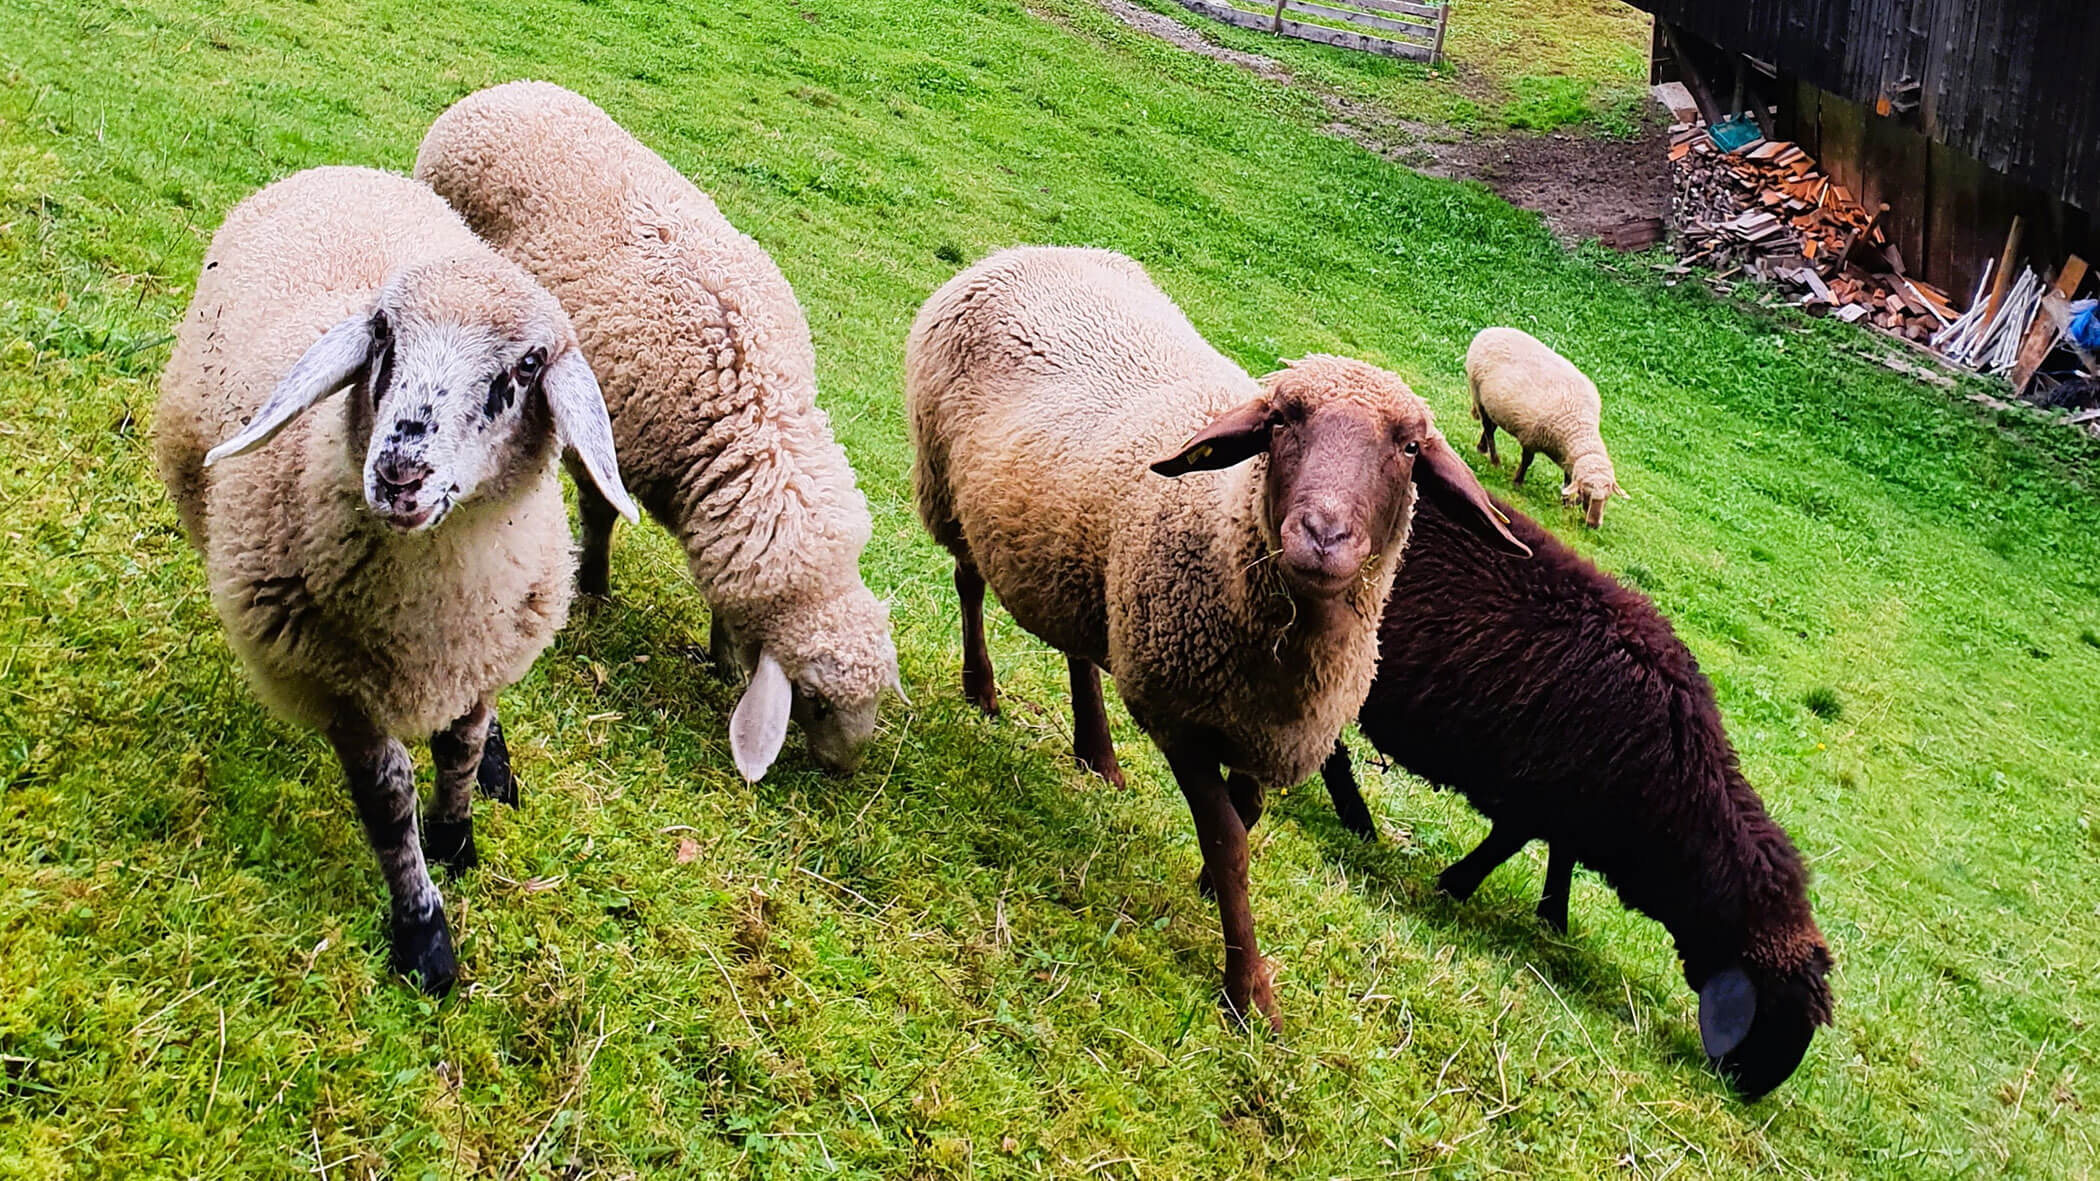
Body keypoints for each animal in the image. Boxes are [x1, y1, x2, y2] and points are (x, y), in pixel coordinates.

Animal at [154, 165, 635, 994]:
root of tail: (337, 169)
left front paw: (458, 832)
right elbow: (387, 799)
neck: (428, 616)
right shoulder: (333, 687)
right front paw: (423, 932)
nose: (400, 471)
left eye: (529, 364)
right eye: (382, 334)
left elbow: (461, 748)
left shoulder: (481, 654)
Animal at [414, 81, 901, 782]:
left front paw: (723, 655)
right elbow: (599, 516)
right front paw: (593, 587)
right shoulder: (608, 445)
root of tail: (503, 90)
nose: (846, 769)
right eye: (813, 699)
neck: (757, 420)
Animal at [906, 246, 1529, 1027]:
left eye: (1411, 447)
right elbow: (1230, 838)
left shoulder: (1271, 728)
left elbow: (1250, 811)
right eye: (1283, 421)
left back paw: (1097, 754)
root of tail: (1022, 254)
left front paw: (1207, 884)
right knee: (967, 584)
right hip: (945, 486)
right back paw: (982, 690)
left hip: (1083, 558)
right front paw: (1248, 988)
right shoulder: (1181, 716)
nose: (1322, 535)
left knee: (1079, 646)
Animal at [1320, 491, 1834, 1099]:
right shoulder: (1541, 792)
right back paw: (1357, 819)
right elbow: (1507, 846)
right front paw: (1455, 886)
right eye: (1775, 1011)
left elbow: (1558, 858)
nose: (1750, 1092)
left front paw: (1552, 920)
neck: (1684, 793)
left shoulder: (1573, 803)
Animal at [1466, 326, 1625, 528]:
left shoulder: (1567, 457)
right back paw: (1495, 461)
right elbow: (1527, 461)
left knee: (1490, 428)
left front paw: (1566, 502)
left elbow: (1568, 478)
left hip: (1490, 404)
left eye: (1608, 497)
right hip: (1478, 393)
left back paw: (1482, 448)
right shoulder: (1531, 437)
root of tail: (1489, 331)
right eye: (1587, 493)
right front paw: (1517, 482)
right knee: (1488, 429)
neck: (1578, 428)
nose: (1593, 525)